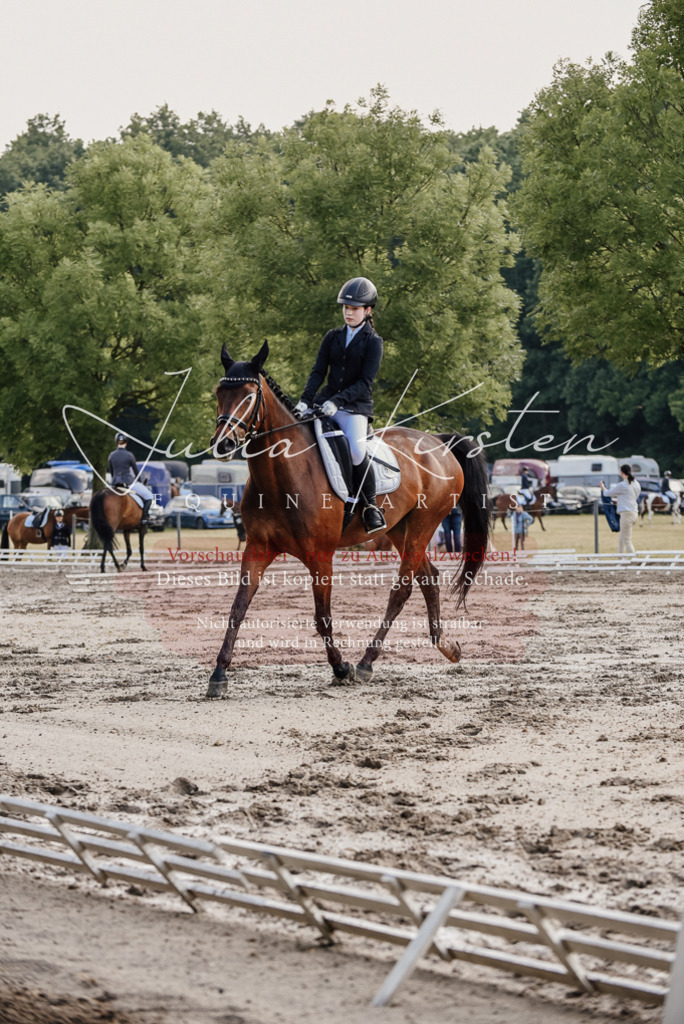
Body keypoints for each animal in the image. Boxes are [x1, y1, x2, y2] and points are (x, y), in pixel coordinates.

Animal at [205, 341, 490, 698]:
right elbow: (238, 608)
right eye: (220, 392)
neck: (281, 475)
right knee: (429, 578)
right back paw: (447, 648)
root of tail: (438, 443)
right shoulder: (257, 548)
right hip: (399, 529)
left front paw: (341, 668)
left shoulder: (320, 555)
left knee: (402, 591)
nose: (223, 444)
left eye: (249, 394)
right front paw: (218, 675)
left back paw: (367, 662)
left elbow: (322, 616)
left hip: (423, 525)